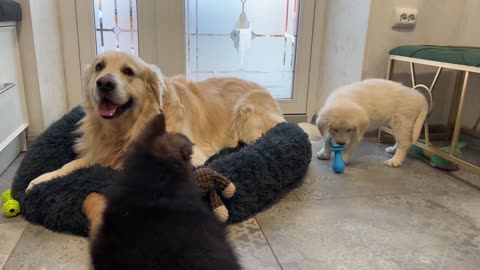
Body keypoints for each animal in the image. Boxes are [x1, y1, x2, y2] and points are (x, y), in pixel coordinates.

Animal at [26, 50, 284, 190]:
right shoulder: (98, 152)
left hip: (247, 116)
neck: (127, 129)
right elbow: (69, 166)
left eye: (128, 71)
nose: (104, 83)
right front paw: (39, 180)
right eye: (99, 66)